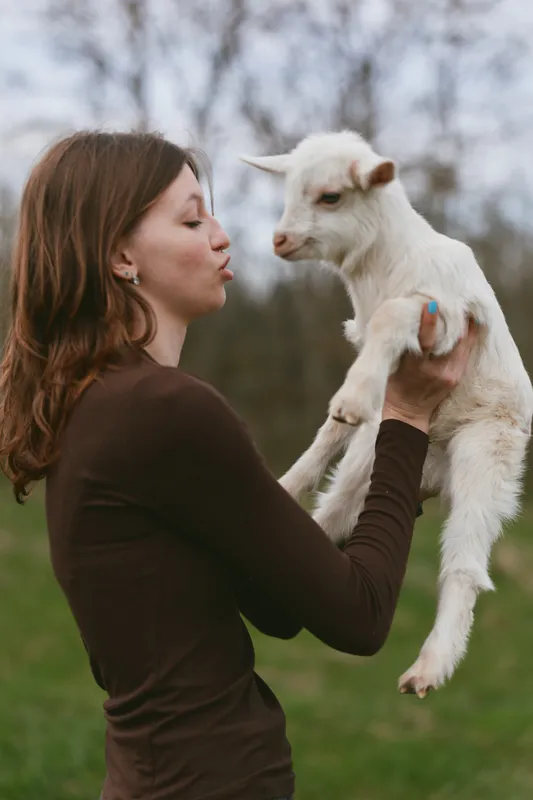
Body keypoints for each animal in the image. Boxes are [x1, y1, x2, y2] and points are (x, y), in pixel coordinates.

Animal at [241, 131, 533, 698]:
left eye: (331, 196)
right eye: (288, 189)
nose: (280, 241)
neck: (385, 265)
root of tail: (434, 474)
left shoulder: (441, 314)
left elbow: (392, 316)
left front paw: (352, 398)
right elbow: (329, 431)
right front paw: (291, 475)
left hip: (488, 454)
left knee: (464, 565)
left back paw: (429, 667)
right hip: (367, 466)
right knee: (328, 524)